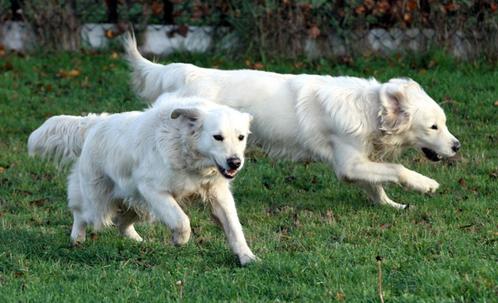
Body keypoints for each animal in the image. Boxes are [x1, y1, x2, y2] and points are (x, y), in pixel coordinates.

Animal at [28, 95, 256, 266]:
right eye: (217, 137)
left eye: (241, 137)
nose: (235, 162)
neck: (187, 150)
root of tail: (96, 123)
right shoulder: (153, 190)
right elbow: (182, 220)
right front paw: (180, 240)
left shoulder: (217, 194)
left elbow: (234, 227)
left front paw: (247, 257)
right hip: (100, 205)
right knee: (81, 214)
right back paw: (77, 239)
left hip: (139, 205)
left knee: (122, 223)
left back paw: (137, 241)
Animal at [122, 36, 462, 211]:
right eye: (433, 127)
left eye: (444, 124)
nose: (457, 146)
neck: (367, 109)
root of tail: (185, 70)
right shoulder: (348, 163)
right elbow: (397, 169)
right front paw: (425, 184)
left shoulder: (357, 163)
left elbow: (376, 184)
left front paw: (391, 205)